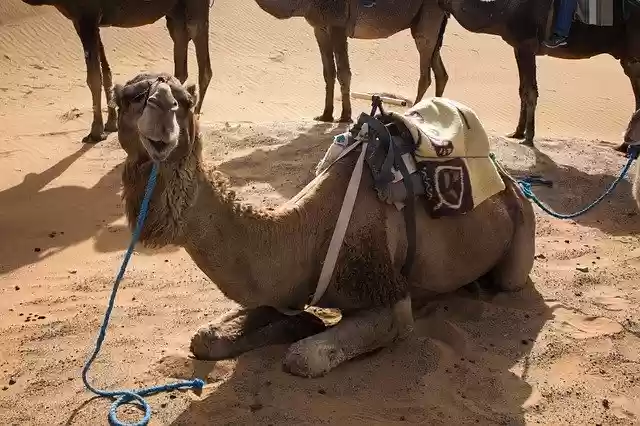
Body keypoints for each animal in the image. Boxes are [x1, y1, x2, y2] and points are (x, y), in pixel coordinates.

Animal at [21, 0, 213, 143]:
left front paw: (96, 132)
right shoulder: (87, 21)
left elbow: (93, 78)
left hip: (194, 9)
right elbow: (105, 72)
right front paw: (111, 123)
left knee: (204, 65)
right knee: (181, 64)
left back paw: (193, 119)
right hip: (175, 12)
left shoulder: (87, 16)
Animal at [112, 71, 536, 377]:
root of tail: (508, 178)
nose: (162, 110)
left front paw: (305, 330)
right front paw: (299, 323)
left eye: (185, 102)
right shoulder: (279, 287)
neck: (302, 234)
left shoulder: (390, 297)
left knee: (509, 280)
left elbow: (302, 358)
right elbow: (203, 338)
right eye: (129, 97)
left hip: (521, 234)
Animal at [252, 0, 450, 123]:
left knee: (426, 73)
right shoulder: (319, 27)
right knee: (441, 72)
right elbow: (328, 72)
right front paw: (325, 115)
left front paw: (345, 116)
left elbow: (343, 72)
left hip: (429, 18)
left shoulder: (337, 24)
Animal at [438, 0, 640, 150]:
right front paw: (516, 133)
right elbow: (522, 90)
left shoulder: (527, 44)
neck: (502, 10)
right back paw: (625, 146)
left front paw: (528, 137)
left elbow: (530, 91)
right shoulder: (518, 47)